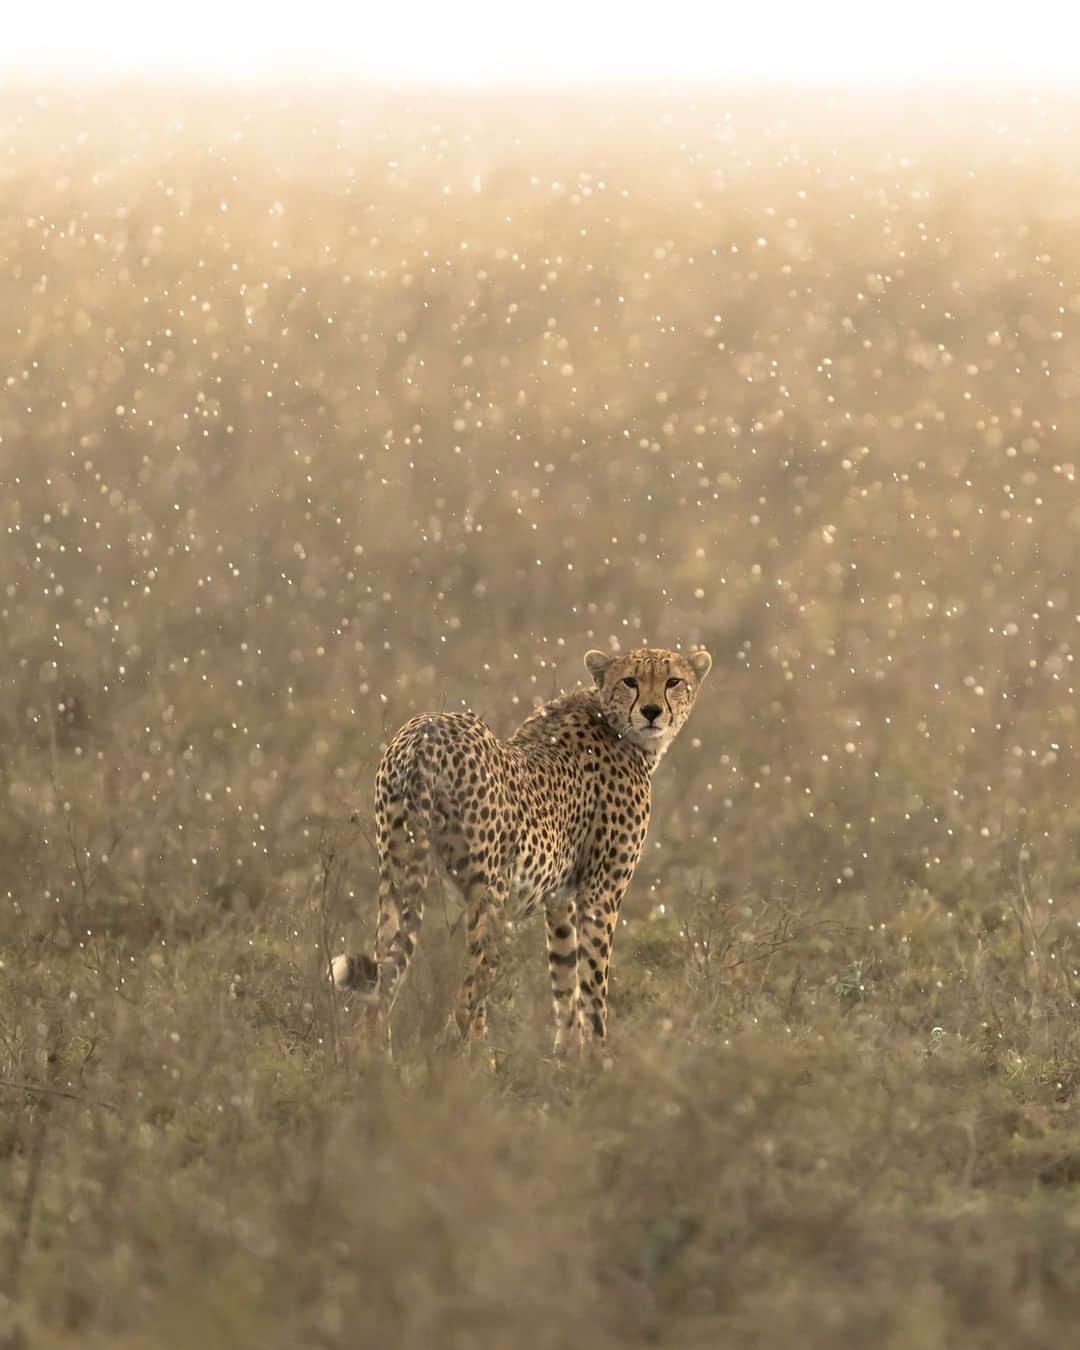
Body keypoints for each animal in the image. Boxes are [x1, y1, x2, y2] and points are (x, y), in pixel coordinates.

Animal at [333, 645, 712, 1053]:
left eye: (673, 681)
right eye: (631, 681)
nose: (652, 711)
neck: (613, 722)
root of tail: (424, 734)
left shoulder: (559, 898)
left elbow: (565, 981)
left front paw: (567, 1056)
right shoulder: (600, 895)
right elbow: (593, 987)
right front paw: (599, 1058)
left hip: (396, 871)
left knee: (382, 986)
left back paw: (373, 1060)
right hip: (490, 894)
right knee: (467, 1000)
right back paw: (479, 1063)